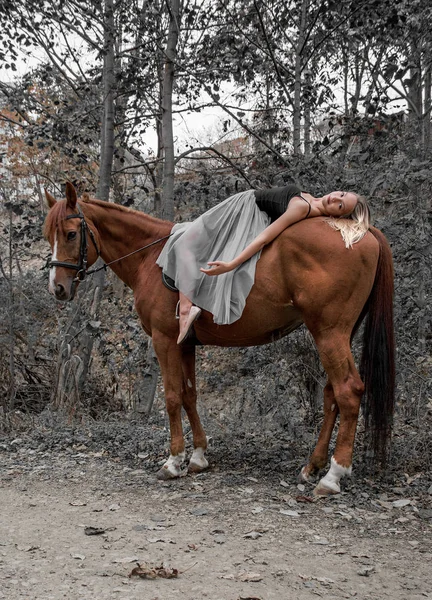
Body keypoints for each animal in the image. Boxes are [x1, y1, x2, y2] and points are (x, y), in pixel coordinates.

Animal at [44, 183, 394, 496]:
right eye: (50, 236)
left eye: (71, 234)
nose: (58, 288)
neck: (151, 255)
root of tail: (363, 230)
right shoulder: (184, 344)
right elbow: (189, 395)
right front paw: (198, 456)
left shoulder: (164, 340)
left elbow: (172, 397)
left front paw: (173, 461)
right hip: (336, 334)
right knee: (332, 393)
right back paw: (314, 466)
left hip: (329, 333)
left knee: (349, 391)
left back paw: (333, 476)